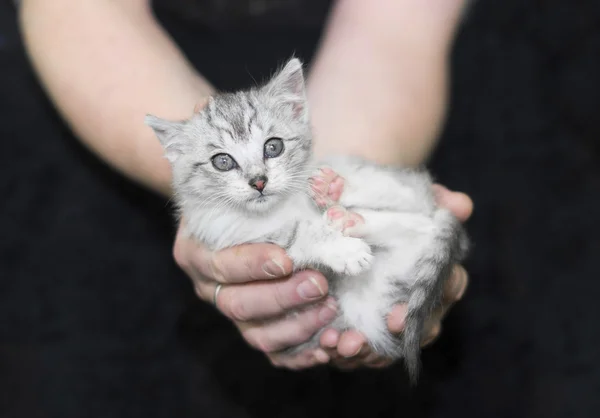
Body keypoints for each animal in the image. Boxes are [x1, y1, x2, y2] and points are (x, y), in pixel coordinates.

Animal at [145, 58, 468, 382]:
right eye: (222, 162)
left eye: (273, 146)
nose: (258, 181)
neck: (280, 207)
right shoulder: (236, 239)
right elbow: (298, 234)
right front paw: (345, 250)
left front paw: (331, 200)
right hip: (368, 304)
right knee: (420, 227)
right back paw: (348, 218)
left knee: (411, 202)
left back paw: (337, 192)